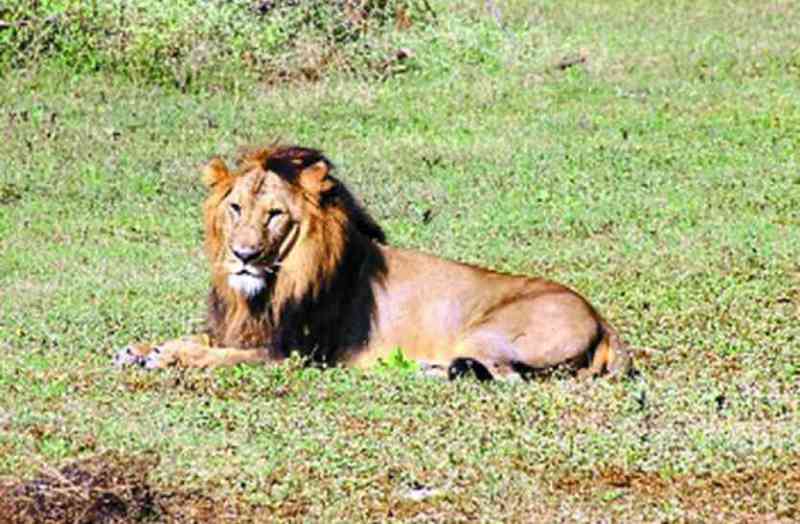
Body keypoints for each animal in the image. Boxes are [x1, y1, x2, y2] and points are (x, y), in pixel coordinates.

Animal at [115, 145, 632, 380]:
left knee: (506, 378)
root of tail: (602, 320)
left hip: (488, 332)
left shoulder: (298, 353)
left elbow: (218, 356)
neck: (267, 289)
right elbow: (202, 338)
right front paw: (139, 348)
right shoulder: (242, 327)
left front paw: (170, 356)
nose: (243, 256)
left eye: (275, 215)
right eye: (235, 208)